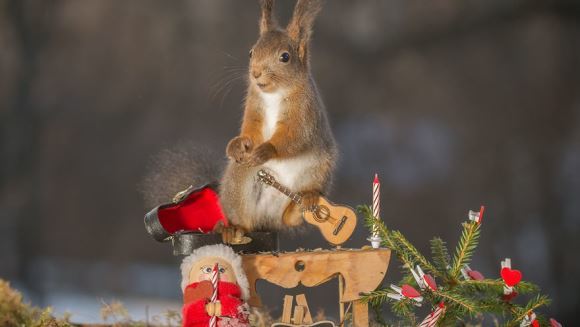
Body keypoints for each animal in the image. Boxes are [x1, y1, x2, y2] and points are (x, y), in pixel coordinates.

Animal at [218, 0, 338, 236]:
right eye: (251, 52)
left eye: (285, 57)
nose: (255, 73)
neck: (274, 93)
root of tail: (268, 218)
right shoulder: (255, 105)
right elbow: (251, 131)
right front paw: (237, 144)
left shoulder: (304, 112)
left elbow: (295, 136)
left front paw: (266, 150)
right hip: (240, 179)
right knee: (247, 221)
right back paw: (234, 228)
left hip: (320, 167)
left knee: (292, 219)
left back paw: (307, 200)